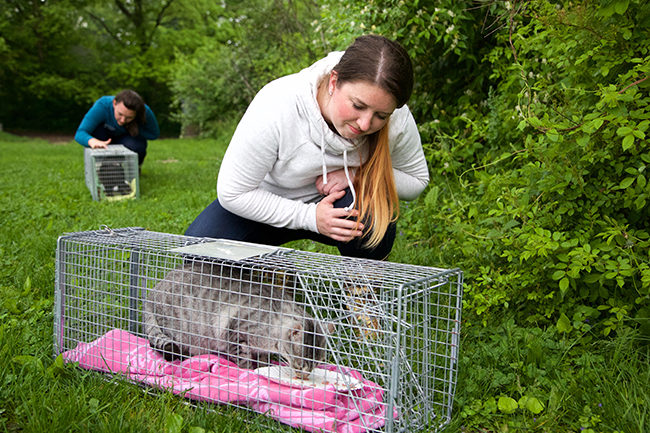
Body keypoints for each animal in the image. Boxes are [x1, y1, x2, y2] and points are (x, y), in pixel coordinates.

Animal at [144, 260, 332, 374]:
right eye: (301, 362)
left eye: (319, 361)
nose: (305, 375)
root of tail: (152, 292)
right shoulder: (235, 335)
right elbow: (244, 362)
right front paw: (250, 374)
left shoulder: (260, 349)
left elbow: (262, 360)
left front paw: (264, 367)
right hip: (183, 332)